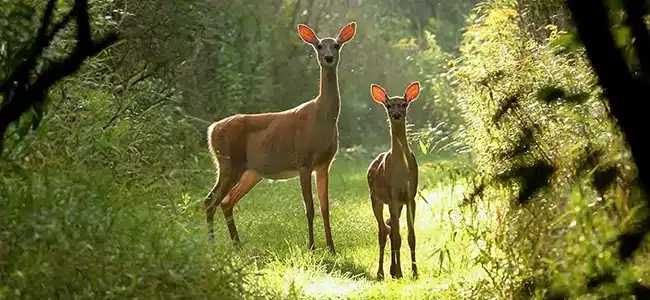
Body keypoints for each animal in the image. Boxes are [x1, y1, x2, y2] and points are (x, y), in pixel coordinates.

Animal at [201, 22, 356, 254]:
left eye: (336, 45)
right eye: (319, 45)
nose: (328, 57)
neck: (322, 118)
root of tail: (211, 130)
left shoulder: (324, 164)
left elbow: (325, 207)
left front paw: (331, 248)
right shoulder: (303, 160)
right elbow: (309, 208)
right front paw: (311, 247)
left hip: (251, 172)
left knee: (226, 201)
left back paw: (237, 245)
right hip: (228, 163)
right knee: (210, 200)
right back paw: (212, 245)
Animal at [364, 81, 420, 280]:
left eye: (404, 104)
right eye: (388, 105)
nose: (396, 114)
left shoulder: (410, 196)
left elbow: (410, 237)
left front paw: (415, 272)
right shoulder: (393, 195)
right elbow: (397, 237)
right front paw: (401, 272)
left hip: (395, 203)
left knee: (389, 230)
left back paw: (392, 270)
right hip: (376, 198)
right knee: (383, 231)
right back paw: (382, 272)